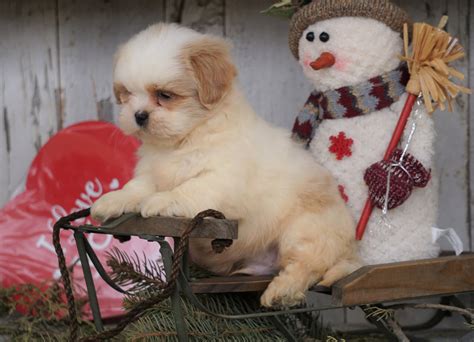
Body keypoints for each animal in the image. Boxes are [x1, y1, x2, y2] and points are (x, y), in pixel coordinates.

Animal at [91, 24, 360, 308]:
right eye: (127, 95)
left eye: (164, 95)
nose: (138, 115)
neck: (184, 140)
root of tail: (352, 250)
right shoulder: (152, 172)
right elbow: (137, 187)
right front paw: (114, 199)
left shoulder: (221, 180)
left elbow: (189, 189)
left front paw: (161, 200)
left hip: (305, 230)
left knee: (306, 264)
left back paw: (281, 292)